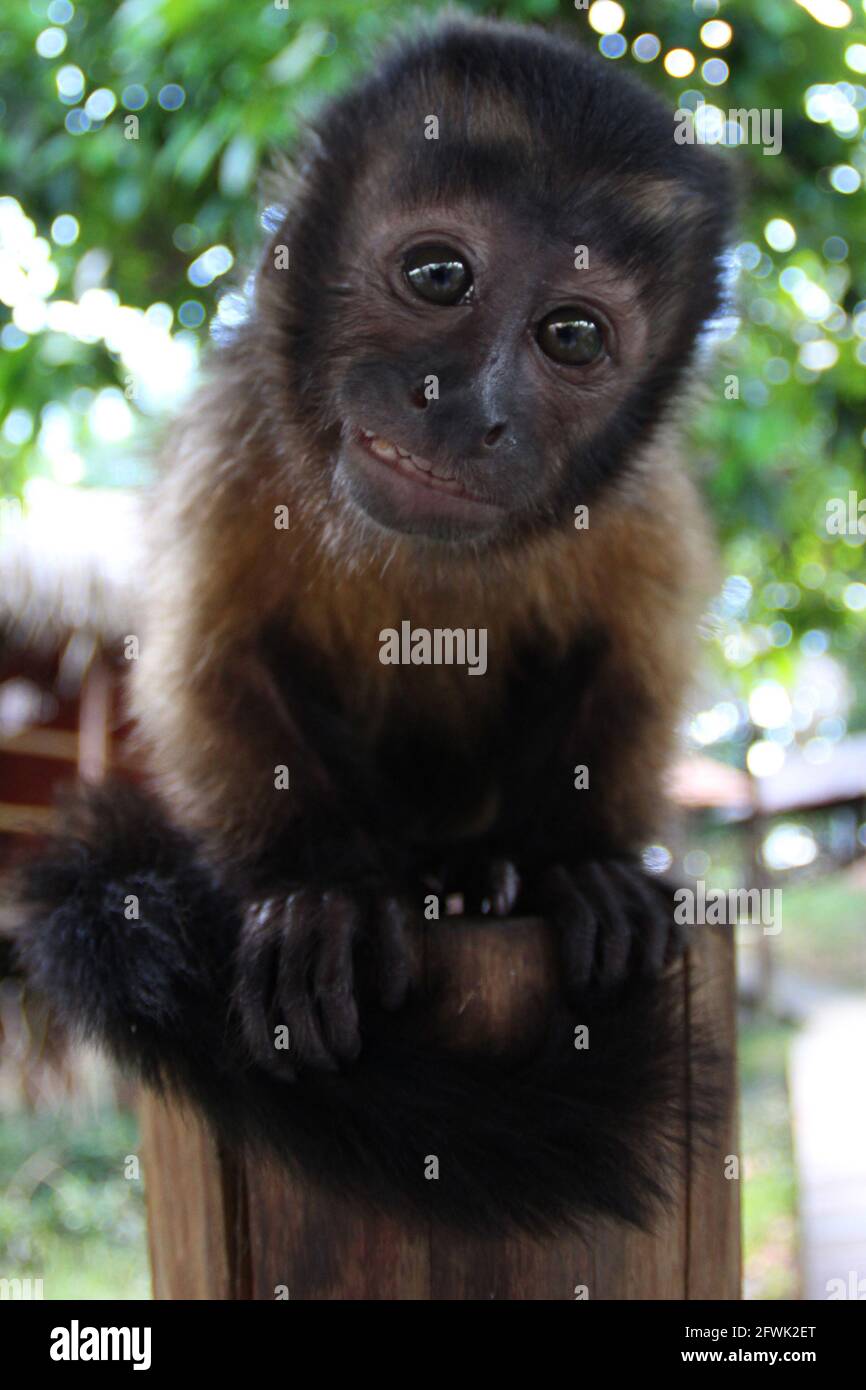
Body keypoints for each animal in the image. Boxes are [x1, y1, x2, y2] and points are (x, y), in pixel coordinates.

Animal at [16, 16, 733, 1234]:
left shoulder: (640, 504)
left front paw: (578, 863)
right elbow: (206, 665)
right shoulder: (236, 429)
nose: (471, 409)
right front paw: (317, 895)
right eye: (438, 275)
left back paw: (485, 871)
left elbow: (630, 663)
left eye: (572, 336)